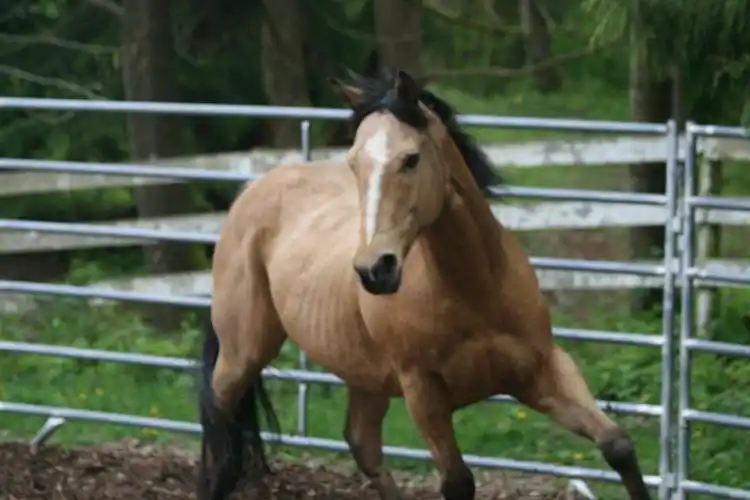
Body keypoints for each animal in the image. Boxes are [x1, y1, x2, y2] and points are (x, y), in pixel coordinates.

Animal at [197, 69, 652, 500]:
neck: (475, 291)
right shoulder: (424, 394)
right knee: (221, 439)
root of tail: (250, 192)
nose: (374, 270)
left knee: (361, 442)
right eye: (353, 163)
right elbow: (458, 483)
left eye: (411, 159)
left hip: (365, 376)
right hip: (242, 354)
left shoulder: (542, 371)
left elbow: (618, 445)